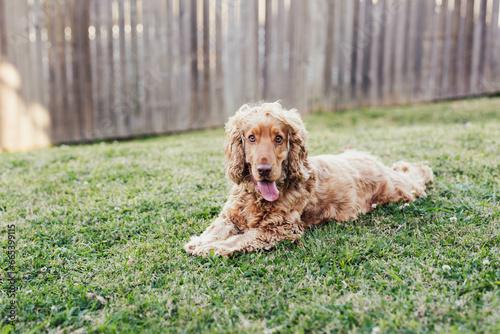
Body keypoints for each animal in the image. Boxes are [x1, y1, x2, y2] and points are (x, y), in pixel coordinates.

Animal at [185, 103, 434, 258]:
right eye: (251, 138)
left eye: (278, 138)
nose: (264, 170)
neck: (256, 197)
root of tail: (367, 157)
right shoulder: (230, 216)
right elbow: (217, 228)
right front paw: (200, 241)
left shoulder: (279, 230)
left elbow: (239, 239)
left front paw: (212, 248)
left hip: (397, 189)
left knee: (417, 175)